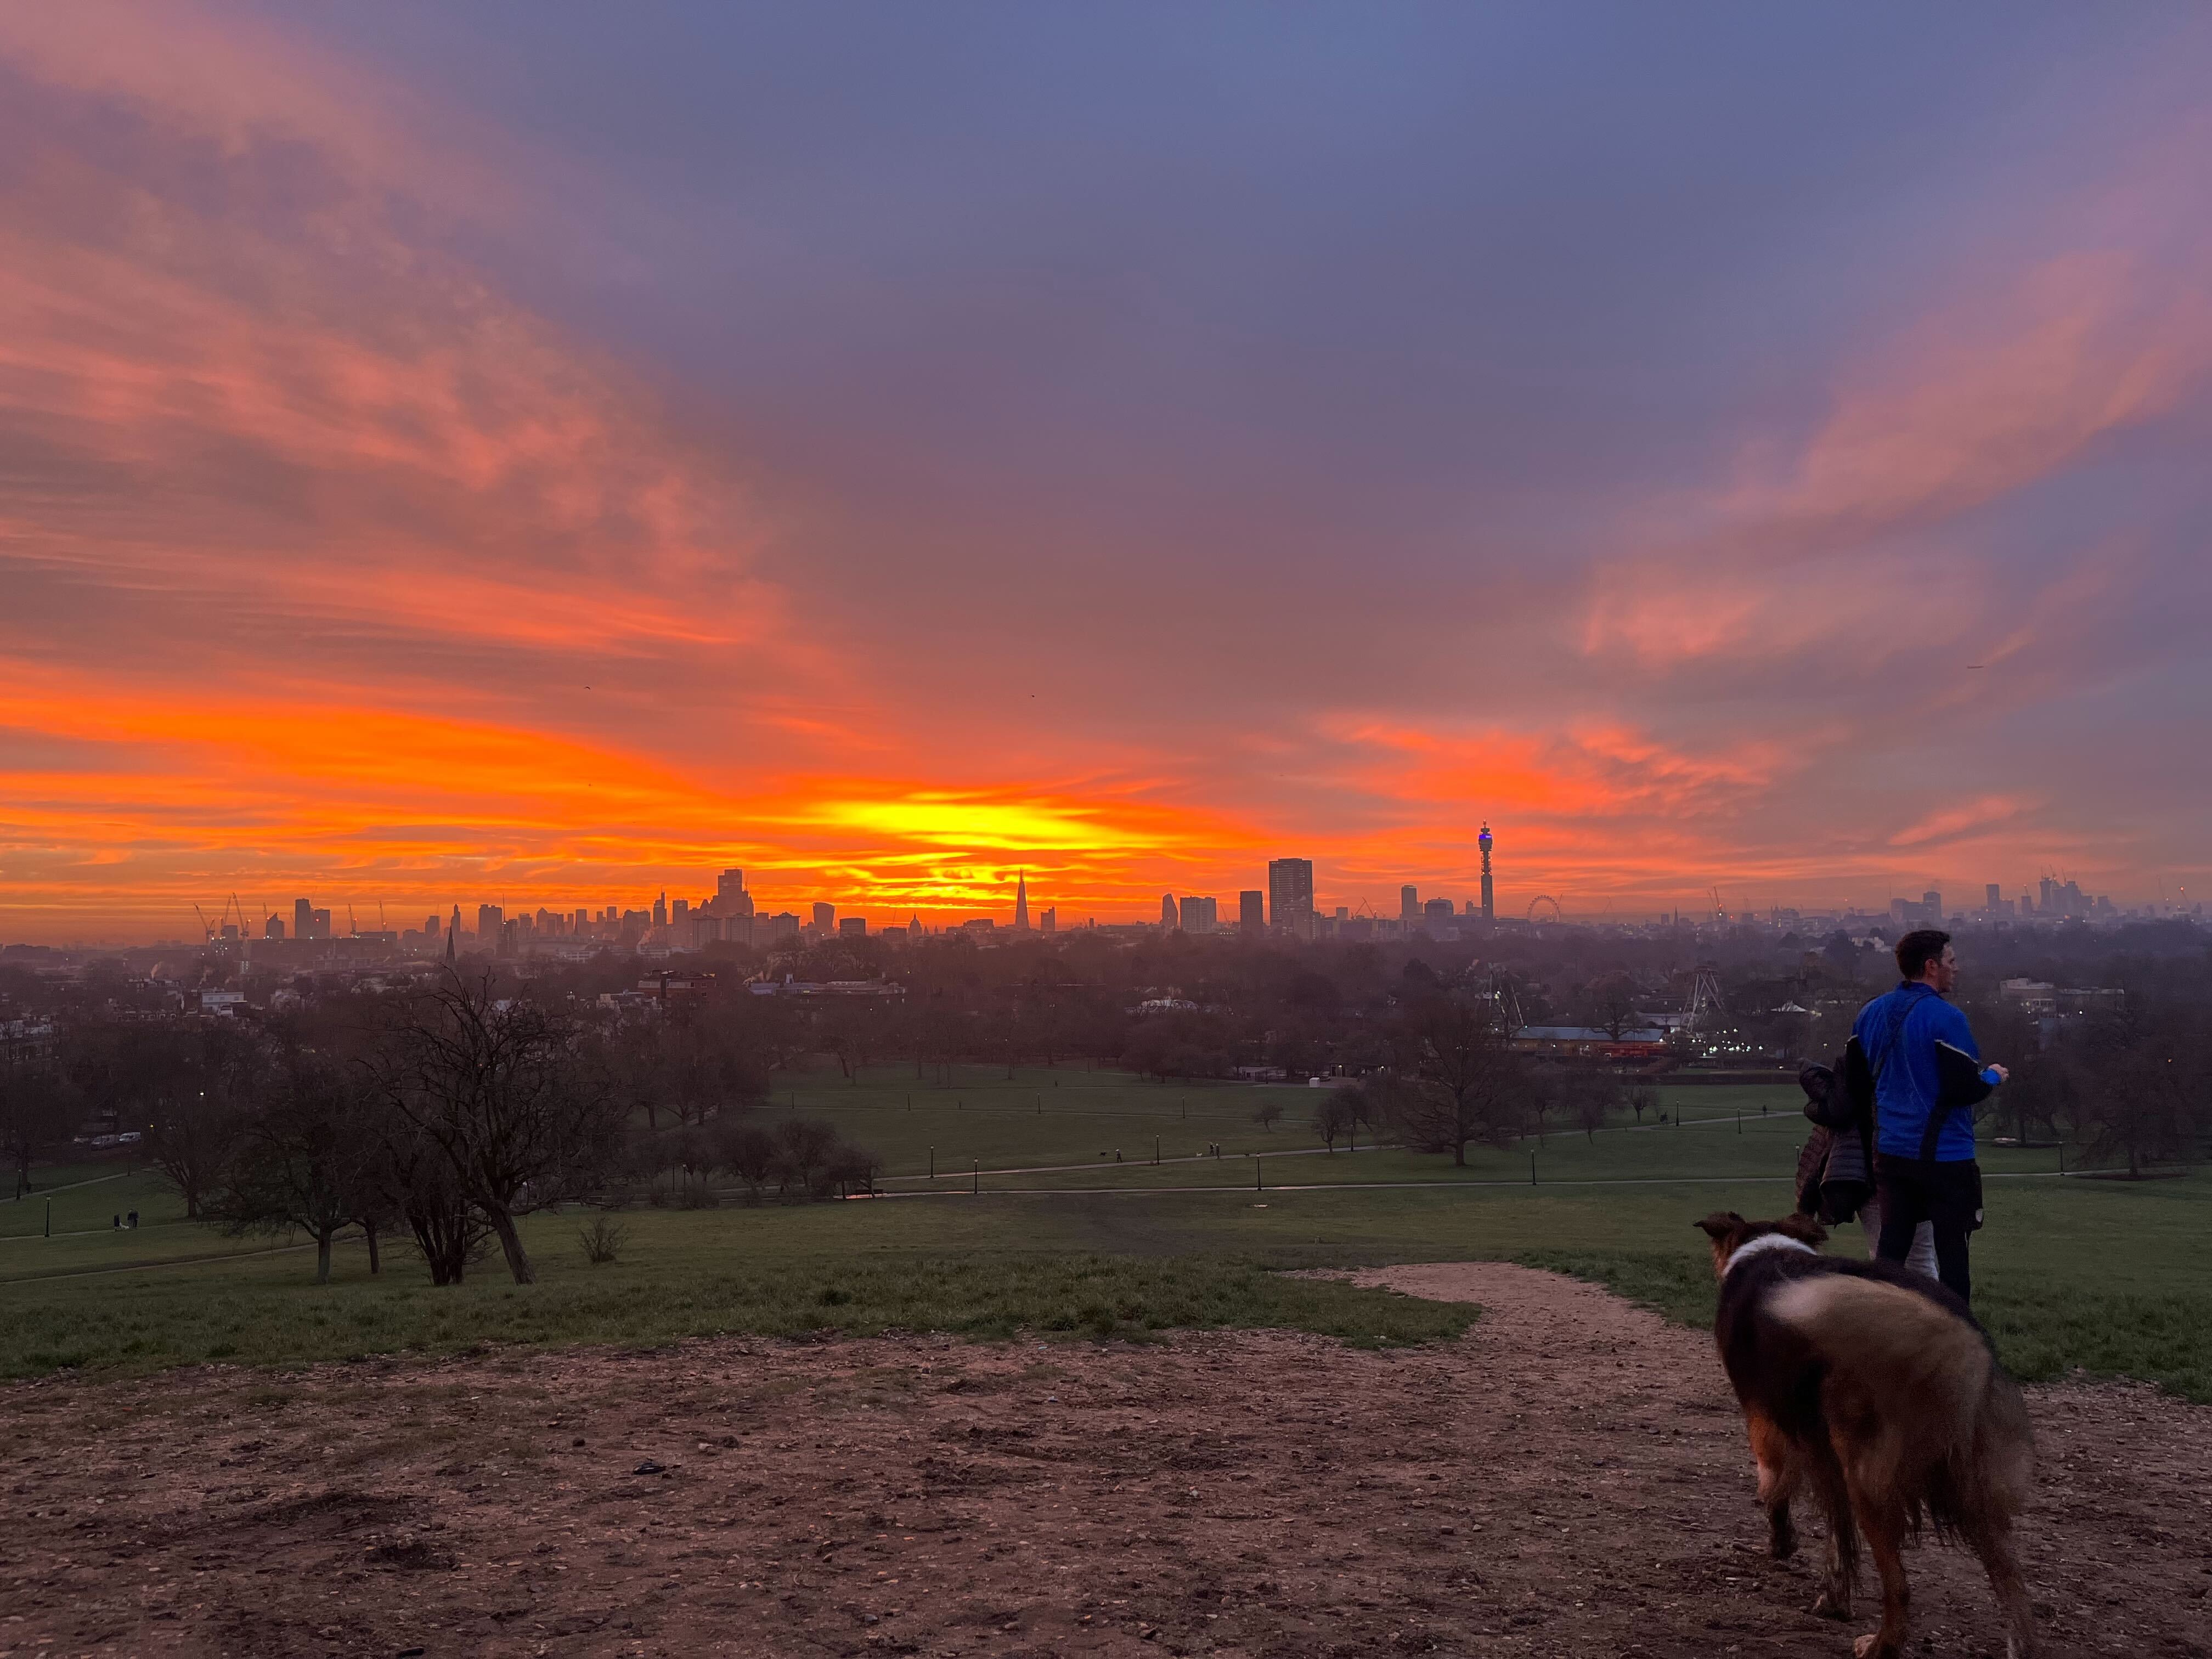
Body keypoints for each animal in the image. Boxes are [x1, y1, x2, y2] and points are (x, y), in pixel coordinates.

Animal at [1690, 1212, 2035, 1659]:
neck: (1766, 1246)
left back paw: (1880, 1645)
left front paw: (1784, 1547)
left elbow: (1777, 1493)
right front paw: (1835, 1598)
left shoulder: (1769, 1428)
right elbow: (1838, 1534)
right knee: (2013, 1585)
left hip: (1870, 1480)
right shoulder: (1822, 1453)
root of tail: (1947, 1338)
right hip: (1972, 1488)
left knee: (1900, 1586)